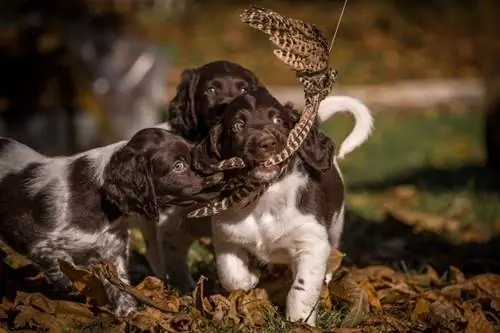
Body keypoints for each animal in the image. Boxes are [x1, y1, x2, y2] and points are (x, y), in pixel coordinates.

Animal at [0, 127, 221, 316]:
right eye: (178, 166)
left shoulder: (113, 250)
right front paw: (69, 285)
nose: (220, 172)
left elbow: (120, 285)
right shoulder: (37, 242)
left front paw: (128, 315)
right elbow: (61, 263)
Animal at [189, 88, 374, 324]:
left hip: (335, 227)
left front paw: (299, 321)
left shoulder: (312, 243)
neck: (264, 199)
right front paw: (251, 277)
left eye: (278, 120)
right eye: (238, 125)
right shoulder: (226, 237)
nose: (266, 143)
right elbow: (231, 275)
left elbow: (301, 290)